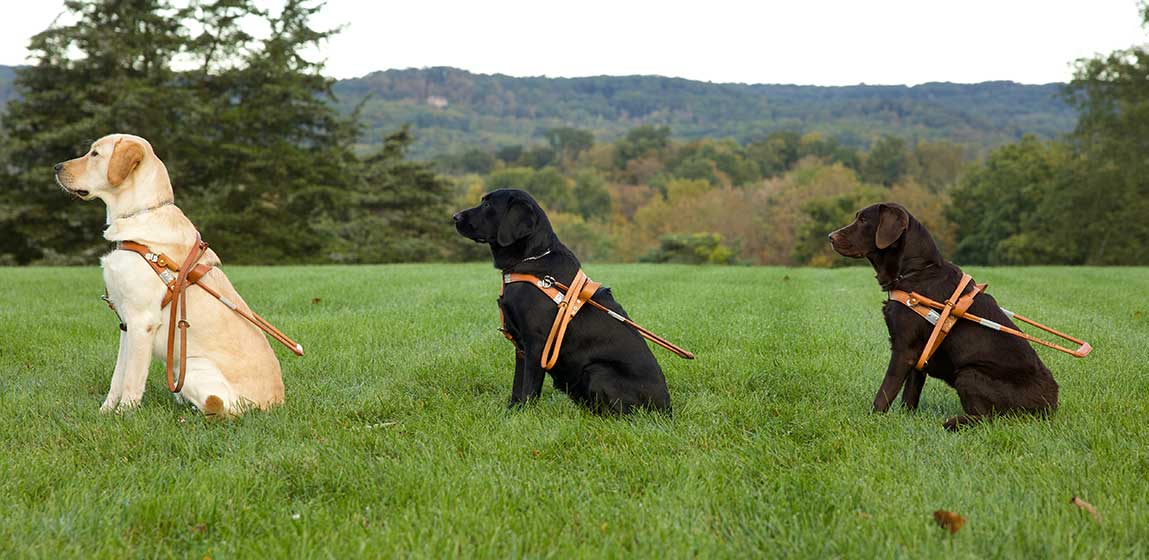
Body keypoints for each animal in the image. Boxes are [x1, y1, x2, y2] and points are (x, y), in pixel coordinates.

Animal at [54, 134, 284, 416]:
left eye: (95, 154)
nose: (56, 167)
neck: (142, 212)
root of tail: (275, 403)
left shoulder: (142, 322)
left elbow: (131, 380)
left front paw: (124, 416)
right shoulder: (126, 325)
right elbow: (117, 377)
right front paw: (105, 413)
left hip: (191, 368)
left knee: (220, 409)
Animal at [452, 190, 671, 413]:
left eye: (488, 205)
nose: (455, 217)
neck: (532, 259)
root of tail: (666, 408)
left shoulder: (537, 344)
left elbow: (529, 388)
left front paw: (525, 414)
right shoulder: (521, 347)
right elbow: (517, 385)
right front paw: (512, 412)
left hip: (598, 370)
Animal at [827, 203, 1057, 432]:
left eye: (863, 220)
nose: (830, 236)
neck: (915, 271)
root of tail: (1051, 406)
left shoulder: (904, 350)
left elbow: (886, 391)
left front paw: (870, 420)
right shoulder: (919, 354)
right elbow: (909, 395)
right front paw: (906, 420)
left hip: (968, 374)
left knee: (988, 418)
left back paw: (952, 422)